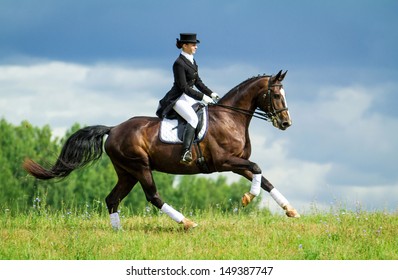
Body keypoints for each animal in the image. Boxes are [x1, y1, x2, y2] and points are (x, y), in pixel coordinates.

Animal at [23, 69, 298, 230]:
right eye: (276, 95)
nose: (286, 123)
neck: (230, 118)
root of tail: (113, 129)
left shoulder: (237, 163)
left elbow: (264, 179)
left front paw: (290, 210)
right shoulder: (224, 162)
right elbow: (258, 169)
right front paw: (247, 198)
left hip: (127, 172)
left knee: (112, 199)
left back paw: (118, 231)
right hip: (140, 167)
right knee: (152, 196)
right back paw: (186, 222)